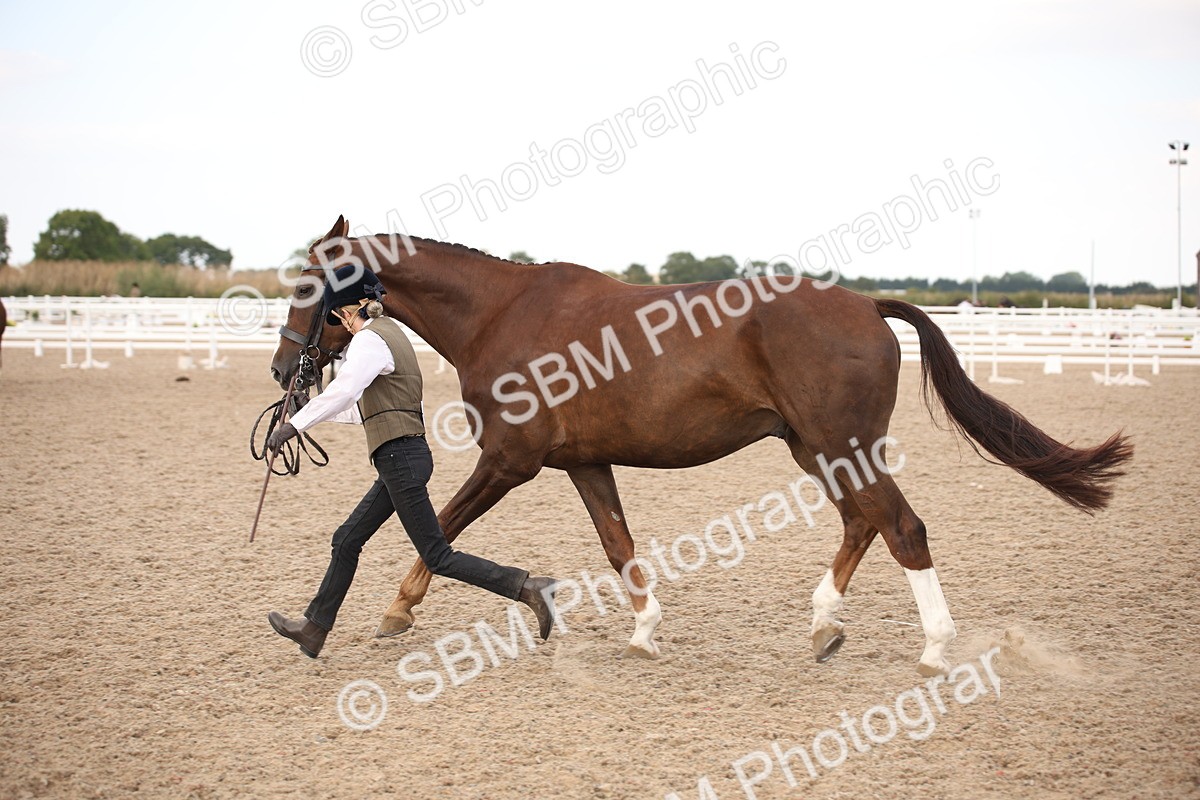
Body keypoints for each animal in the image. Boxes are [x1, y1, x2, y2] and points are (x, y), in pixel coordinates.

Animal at [270, 216, 1131, 675]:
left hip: (838, 444)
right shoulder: (584, 463)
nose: (285, 369)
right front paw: (645, 631)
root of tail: (866, 304)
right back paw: (823, 626)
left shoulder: (510, 462)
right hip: (816, 450)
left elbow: (439, 531)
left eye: (308, 286)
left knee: (902, 528)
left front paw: (395, 611)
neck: (501, 315)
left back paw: (933, 650)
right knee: (864, 523)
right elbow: (618, 544)